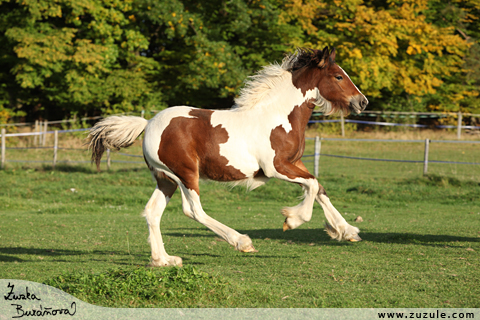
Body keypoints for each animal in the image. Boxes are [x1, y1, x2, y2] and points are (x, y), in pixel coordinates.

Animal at [87, 47, 368, 268]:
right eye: (338, 76)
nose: (362, 102)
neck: (278, 117)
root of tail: (148, 124)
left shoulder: (294, 163)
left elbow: (319, 187)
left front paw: (347, 231)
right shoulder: (276, 167)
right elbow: (311, 185)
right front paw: (292, 220)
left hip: (165, 178)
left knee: (152, 212)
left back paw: (164, 260)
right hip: (186, 173)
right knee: (193, 210)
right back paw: (242, 241)